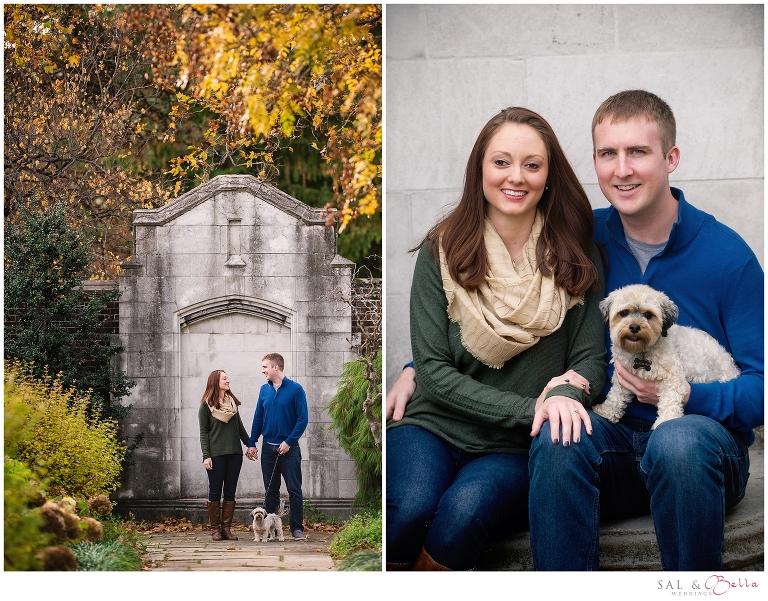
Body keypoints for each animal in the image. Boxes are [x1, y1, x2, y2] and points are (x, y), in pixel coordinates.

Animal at [592, 284, 740, 428]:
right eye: (623, 313)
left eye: (648, 314)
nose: (634, 327)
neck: (641, 351)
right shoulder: (622, 375)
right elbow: (615, 396)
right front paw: (607, 411)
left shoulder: (673, 376)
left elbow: (670, 400)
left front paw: (665, 420)